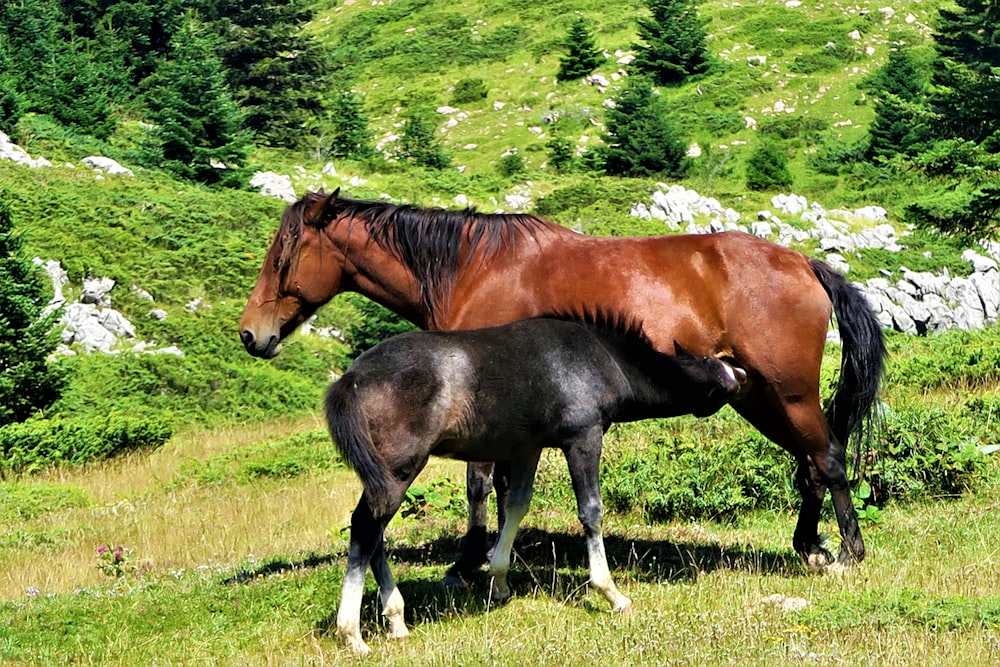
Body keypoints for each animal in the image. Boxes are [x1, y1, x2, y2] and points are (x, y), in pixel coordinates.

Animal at [240, 188, 884, 580]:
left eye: (281, 257)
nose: (251, 334)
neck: (473, 270)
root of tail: (803, 263)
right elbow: (505, 488)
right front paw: (498, 555)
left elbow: (479, 486)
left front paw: (470, 562)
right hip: (759, 397)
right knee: (809, 464)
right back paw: (810, 546)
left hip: (788, 394)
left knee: (826, 459)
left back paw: (849, 552)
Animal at [326, 318, 744, 652]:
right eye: (712, 366)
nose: (741, 375)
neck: (604, 357)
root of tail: (351, 377)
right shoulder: (583, 437)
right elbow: (591, 511)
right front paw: (612, 594)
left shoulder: (528, 447)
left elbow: (517, 505)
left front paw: (499, 581)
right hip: (400, 467)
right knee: (366, 526)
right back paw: (353, 634)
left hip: (385, 474)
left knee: (374, 530)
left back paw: (396, 620)